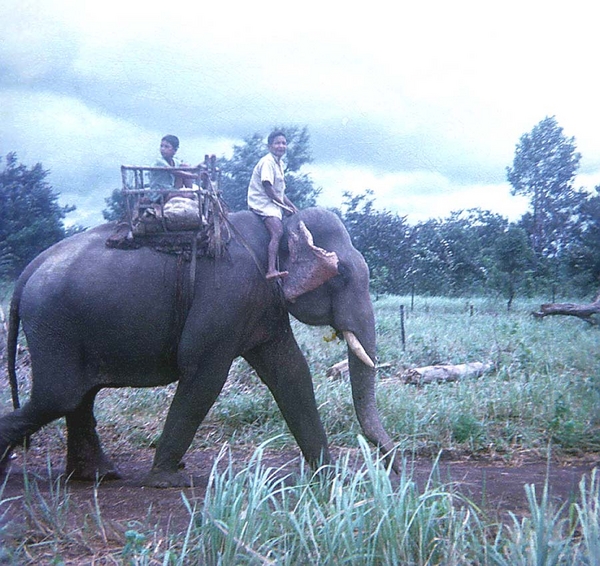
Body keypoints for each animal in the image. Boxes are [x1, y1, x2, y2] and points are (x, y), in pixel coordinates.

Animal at [1, 207, 398, 488]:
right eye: (342, 276)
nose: (394, 464)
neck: (277, 225)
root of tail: (28, 271)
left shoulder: (264, 303)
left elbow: (290, 372)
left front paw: (329, 475)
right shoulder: (229, 293)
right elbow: (204, 372)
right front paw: (168, 479)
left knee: (77, 398)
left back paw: (98, 476)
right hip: (55, 324)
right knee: (60, 397)